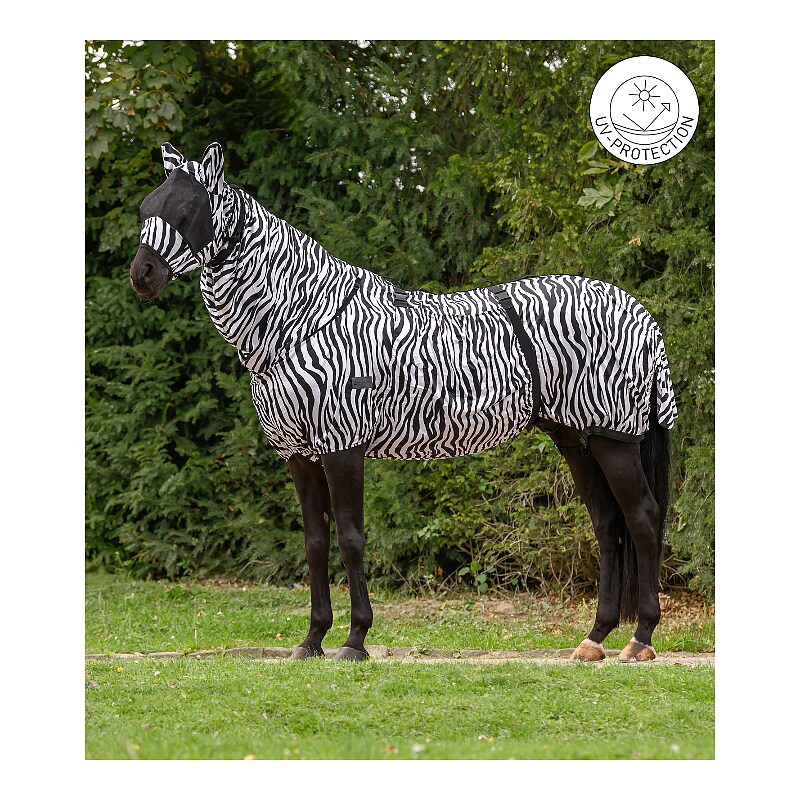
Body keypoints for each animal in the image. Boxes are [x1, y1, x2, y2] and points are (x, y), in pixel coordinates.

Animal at [130, 142, 677, 663]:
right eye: (145, 208)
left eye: (187, 211)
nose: (142, 275)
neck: (302, 319)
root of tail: (639, 312)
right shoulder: (300, 457)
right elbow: (314, 544)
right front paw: (312, 640)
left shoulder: (342, 447)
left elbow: (351, 540)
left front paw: (355, 640)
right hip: (577, 439)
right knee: (608, 525)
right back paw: (595, 638)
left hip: (614, 439)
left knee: (643, 519)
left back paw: (640, 638)